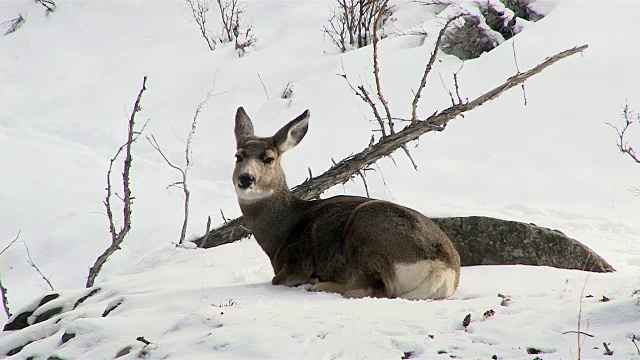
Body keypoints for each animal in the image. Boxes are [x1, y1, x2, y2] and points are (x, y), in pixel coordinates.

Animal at [231, 108, 460, 300]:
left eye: (268, 159)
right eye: (238, 156)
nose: (245, 179)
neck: (282, 232)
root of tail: (444, 270)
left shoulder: (297, 264)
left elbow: (277, 279)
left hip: (367, 229)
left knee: (376, 290)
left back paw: (320, 284)